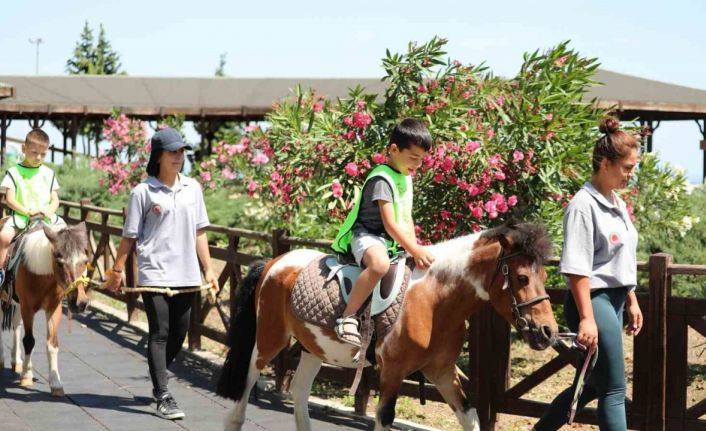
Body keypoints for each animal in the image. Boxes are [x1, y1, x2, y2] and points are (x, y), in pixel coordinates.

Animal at [0, 224, 91, 396]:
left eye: (85, 261)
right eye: (60, 263)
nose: (80, 302)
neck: (41, 274)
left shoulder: (53, 309)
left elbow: (52, 344)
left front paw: (55, 383)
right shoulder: (28, 307)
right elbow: (29, 341)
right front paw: (27, 376)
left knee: (16, 324)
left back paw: (16, 360)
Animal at [217, 223, 560, 431]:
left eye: (544, 276)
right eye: (522, 278)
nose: (548, 331)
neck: (433, 300)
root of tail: (274, 262)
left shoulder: (442, 372)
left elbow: (470, 417)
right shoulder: (393, 372)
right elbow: (385, 418)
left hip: (313, 348)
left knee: (299, 393)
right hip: (269, 340)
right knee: (245, 386)